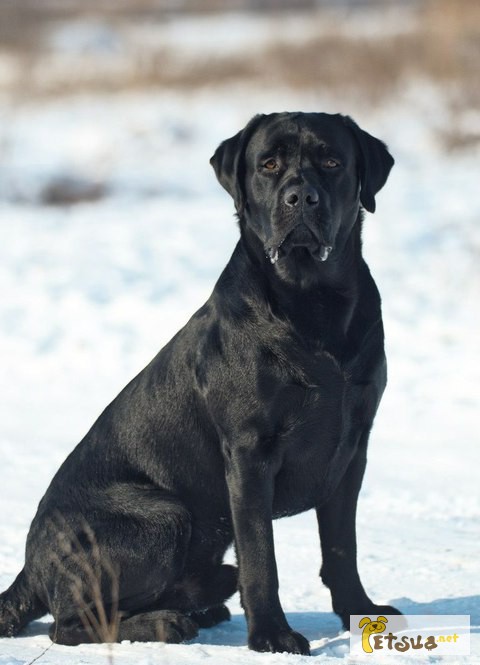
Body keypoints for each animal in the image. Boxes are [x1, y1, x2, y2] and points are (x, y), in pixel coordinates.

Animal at [0, 113, 398, 652]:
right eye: (268, 164)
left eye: (333, 162)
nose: (301, 197)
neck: (313, 303)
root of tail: (28, 567)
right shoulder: (249, 452)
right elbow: (260, 558)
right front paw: (272, 635)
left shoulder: (353, 448)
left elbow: (342, 547)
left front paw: (360, 612)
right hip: (164, 516)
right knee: (69, 623)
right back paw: (169, 622)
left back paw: (202, 605)